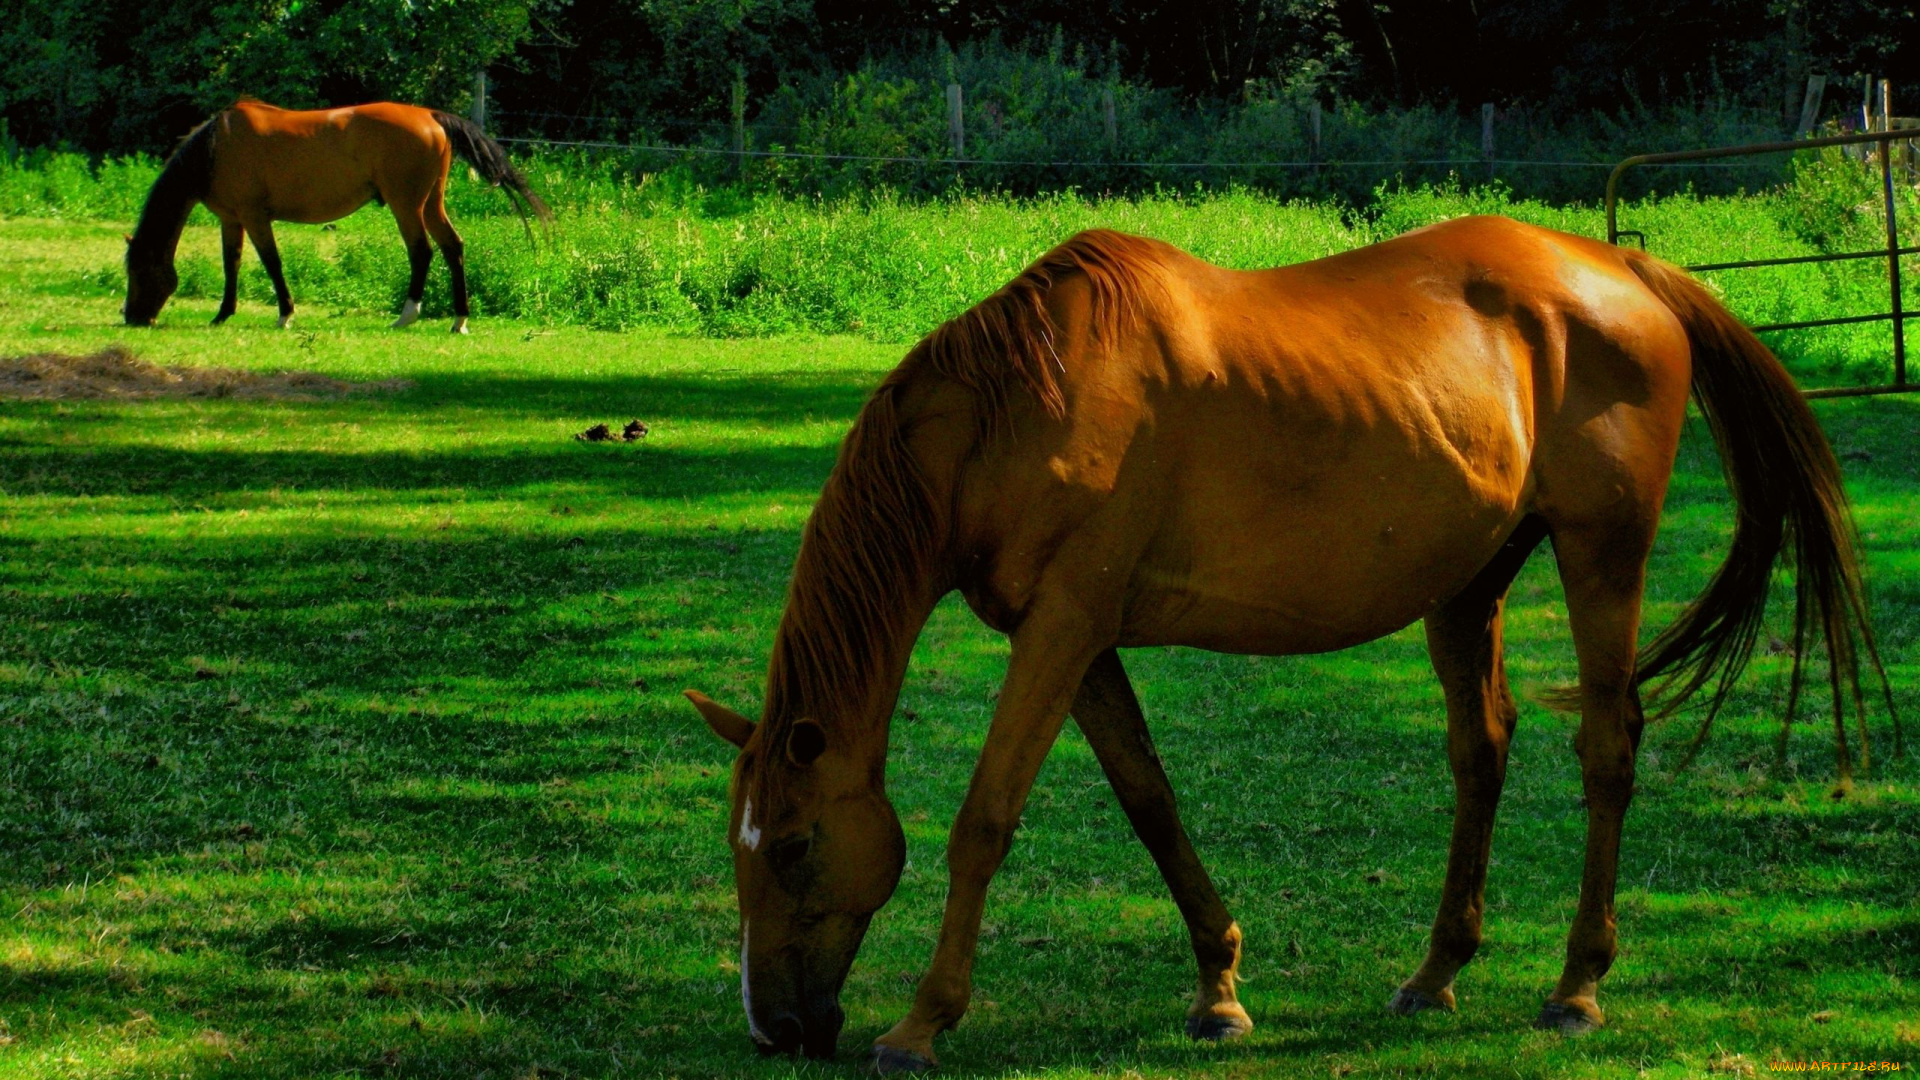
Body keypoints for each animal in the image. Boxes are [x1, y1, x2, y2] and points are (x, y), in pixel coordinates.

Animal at [122, 104, 549, 332]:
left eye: (138, 271)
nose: (133, 318)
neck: (217, 146)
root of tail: (429, 115)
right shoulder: (232, 219)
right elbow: (233, 264)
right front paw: (223, 314)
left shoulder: (255, 216)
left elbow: (272, 263)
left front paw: (285, 315)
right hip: (431, 204)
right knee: (452, 248)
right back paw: (459, 319)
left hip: (406, 205)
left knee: (422, 252)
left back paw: (407, 315)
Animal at [679, 219, 1889, 1068]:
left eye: (792, 846)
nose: (773, 1029)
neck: (1013, 407)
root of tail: (1622, 268)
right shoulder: (1077, 637)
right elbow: (1151, 802)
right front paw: (1219, 990)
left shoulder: (1062, 628)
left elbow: (985, 821)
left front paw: (923, 1023)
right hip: (1469, 585)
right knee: (1480, 754)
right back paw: (1435, 972)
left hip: (1604, 554)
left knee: (1608, 750)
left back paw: (1577, 987)